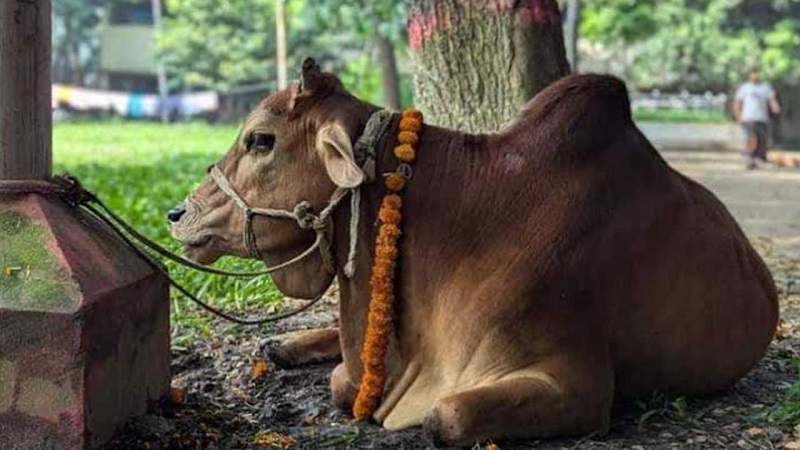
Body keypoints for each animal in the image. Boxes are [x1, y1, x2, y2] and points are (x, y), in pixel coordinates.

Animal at [167, 59, 776, 446]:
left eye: (260, 139)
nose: (178, 214)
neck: (461, 224)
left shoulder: (578, 381)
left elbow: (445, 417)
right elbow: (343, 380)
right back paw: (286, 343)